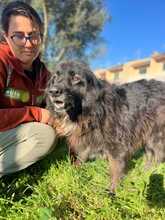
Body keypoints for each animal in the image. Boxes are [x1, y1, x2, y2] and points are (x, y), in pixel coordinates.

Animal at [45, 61, 165, 193]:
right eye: (55, 77)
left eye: (76, 78)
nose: (53, 91)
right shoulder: (87, 137)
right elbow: (81, 156)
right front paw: (73, 172)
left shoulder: (117, 144)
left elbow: (115, 169)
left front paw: (112, 192)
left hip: (156, 135)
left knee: (157, 156)